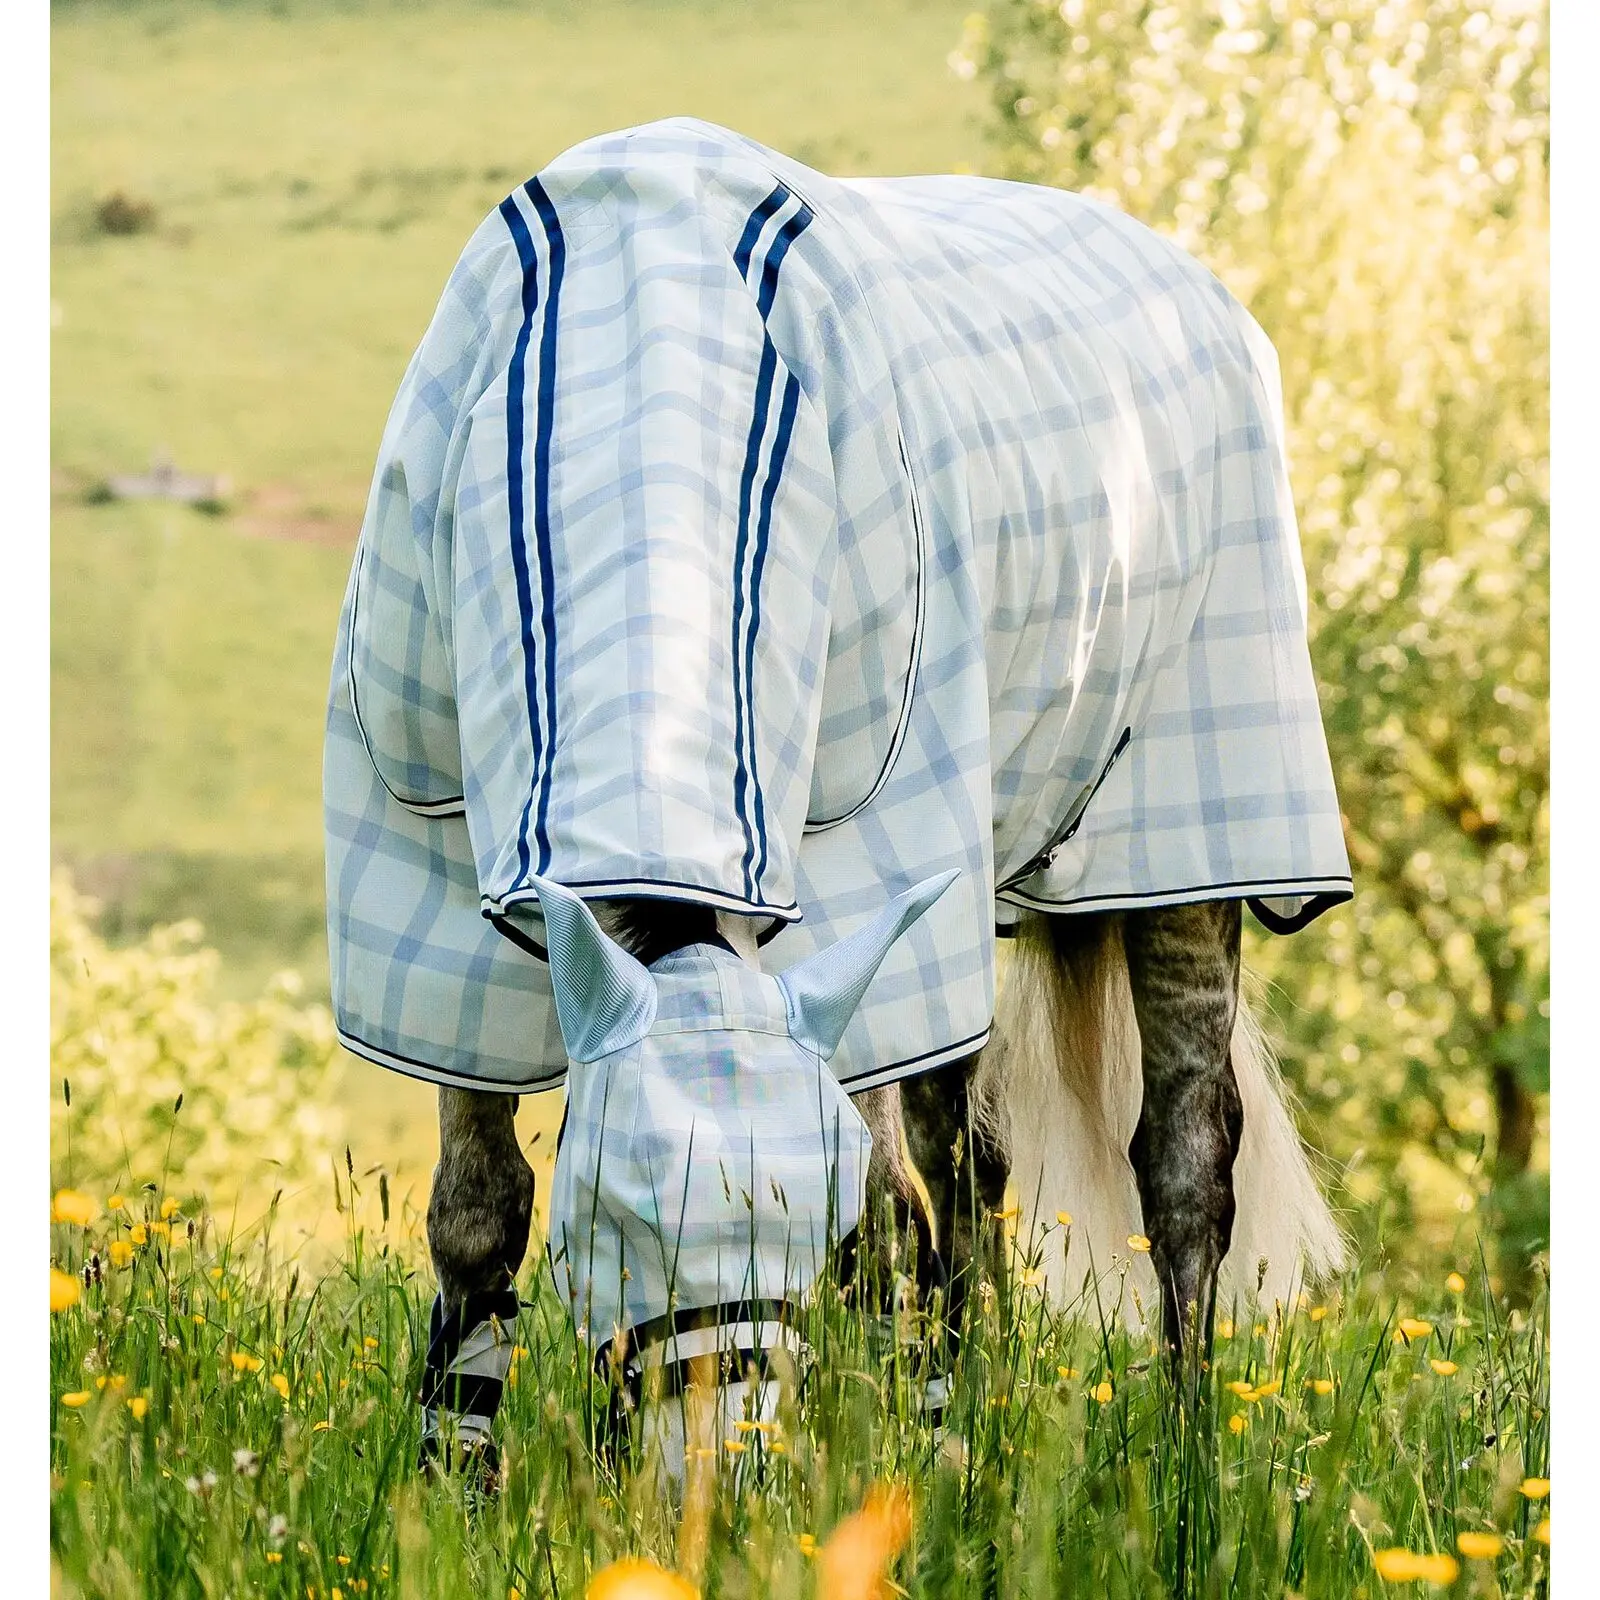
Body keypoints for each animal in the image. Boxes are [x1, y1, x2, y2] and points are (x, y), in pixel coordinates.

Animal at [323, 118, 1351, 1478]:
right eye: (617, 1213)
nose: (725, 1478)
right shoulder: (442, 917)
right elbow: (477, 1213)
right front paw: (453, 1483)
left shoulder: (858, 875)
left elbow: (878, 1215)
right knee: (966, 1168)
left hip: (1190, 845)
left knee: (1180, 1161)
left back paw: (1176, 1463)